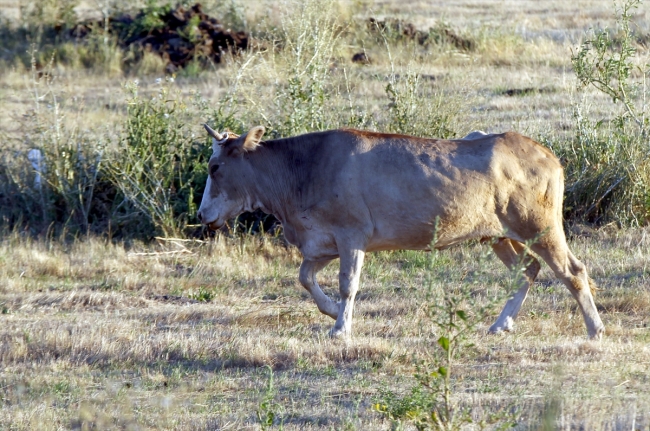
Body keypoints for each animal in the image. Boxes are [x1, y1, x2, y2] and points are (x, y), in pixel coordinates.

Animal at [196, 125, 604, 340]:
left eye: (215, 167)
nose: (202, 214)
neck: (301, 173)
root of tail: (547, 154)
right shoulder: (321, 242)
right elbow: (304, 277)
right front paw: (333, 313)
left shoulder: (351, 235)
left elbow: (348, 284)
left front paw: (340, 328)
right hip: (497, 234)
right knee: (527, 270)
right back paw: (500, 324)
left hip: (540, 225)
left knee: (572, 271)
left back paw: (595, 328)